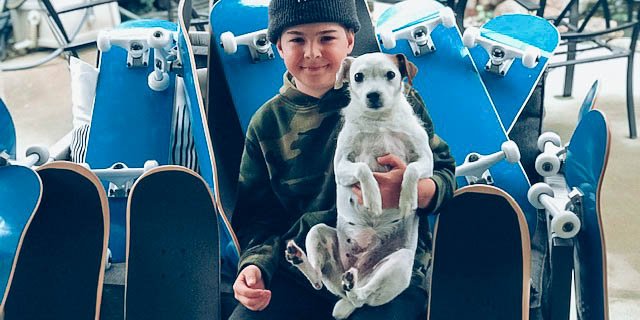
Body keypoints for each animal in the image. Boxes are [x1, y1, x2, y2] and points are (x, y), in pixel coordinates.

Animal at [286, 52, 432, 318]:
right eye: (358, 76)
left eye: (390, 74)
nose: (373, 95)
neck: (379, 121)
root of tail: (360, 273)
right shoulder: (342, 166)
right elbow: (363, 168)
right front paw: (373, 197)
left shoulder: (426, 159)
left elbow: (411, 170)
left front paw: (407, 199)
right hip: (317, 233)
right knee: (319, 280)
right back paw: (300, 259)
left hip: (399, 263)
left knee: (363, 296)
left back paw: (352, 286)